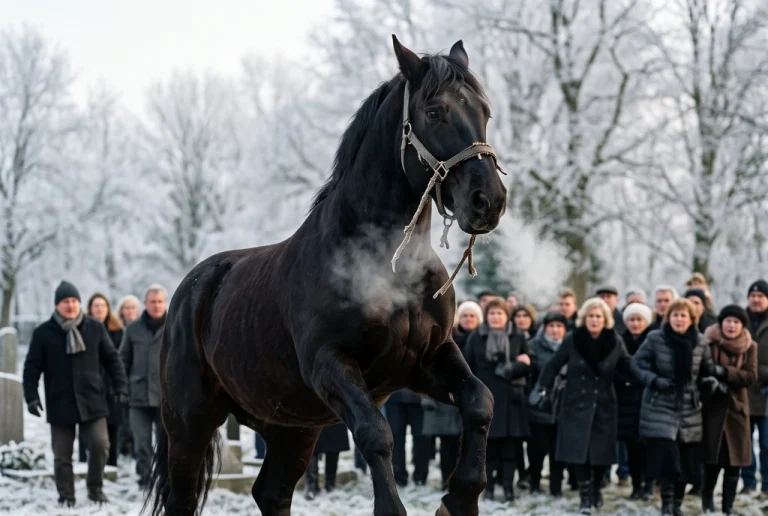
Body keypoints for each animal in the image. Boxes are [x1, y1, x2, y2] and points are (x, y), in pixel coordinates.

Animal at [144, 35, 507, 516]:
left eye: (484, 111)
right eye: (434, 112)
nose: (488, 200)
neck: (387, 268)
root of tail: (190, 291)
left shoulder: (428, 358)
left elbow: (480, 401)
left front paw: (460, 498)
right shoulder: (330, 363)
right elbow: (376, 434)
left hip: (292, 426)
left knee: (272, 492)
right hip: (189, 422)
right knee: (183, 497)